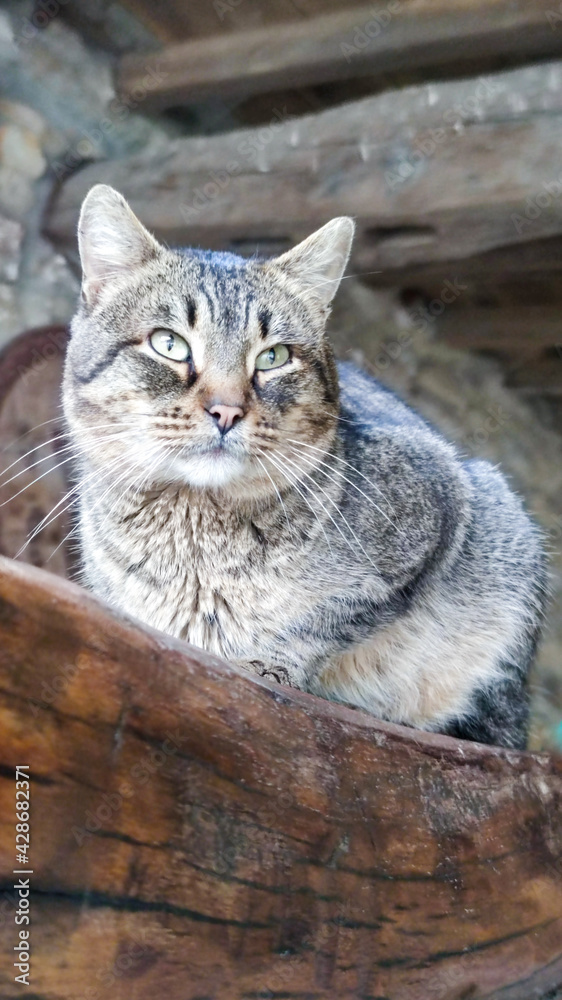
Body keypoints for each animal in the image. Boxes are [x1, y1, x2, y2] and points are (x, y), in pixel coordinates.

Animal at [62, 184, 544, 748]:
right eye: (169, 343)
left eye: (273, 357)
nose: (226, 411)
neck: (195, 543)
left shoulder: (440, 499)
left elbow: (326, 620)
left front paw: (269, 663)